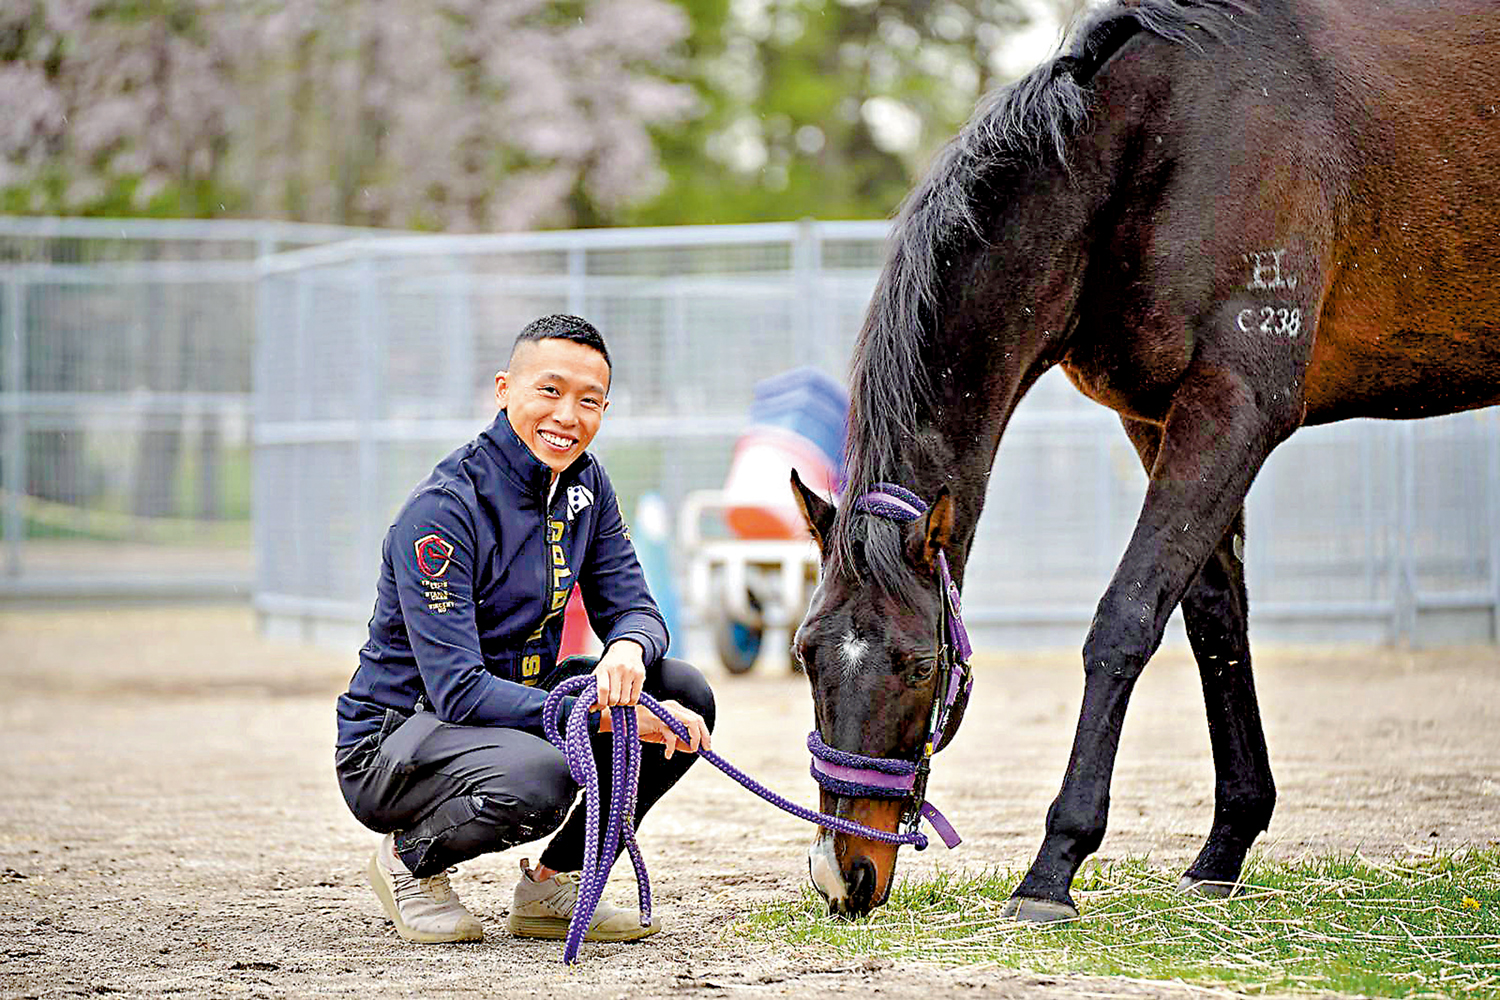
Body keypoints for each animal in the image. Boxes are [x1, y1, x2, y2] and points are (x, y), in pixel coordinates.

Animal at [789, 0, 1500, 920]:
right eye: (807, 652)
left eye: (919, 664)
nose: (843, 873)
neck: (1156, 146)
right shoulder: (1159, 420)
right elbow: (1213, 624)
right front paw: (1225, 849)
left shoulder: (1235, 411)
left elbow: (1124, 621)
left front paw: (1054, 865)